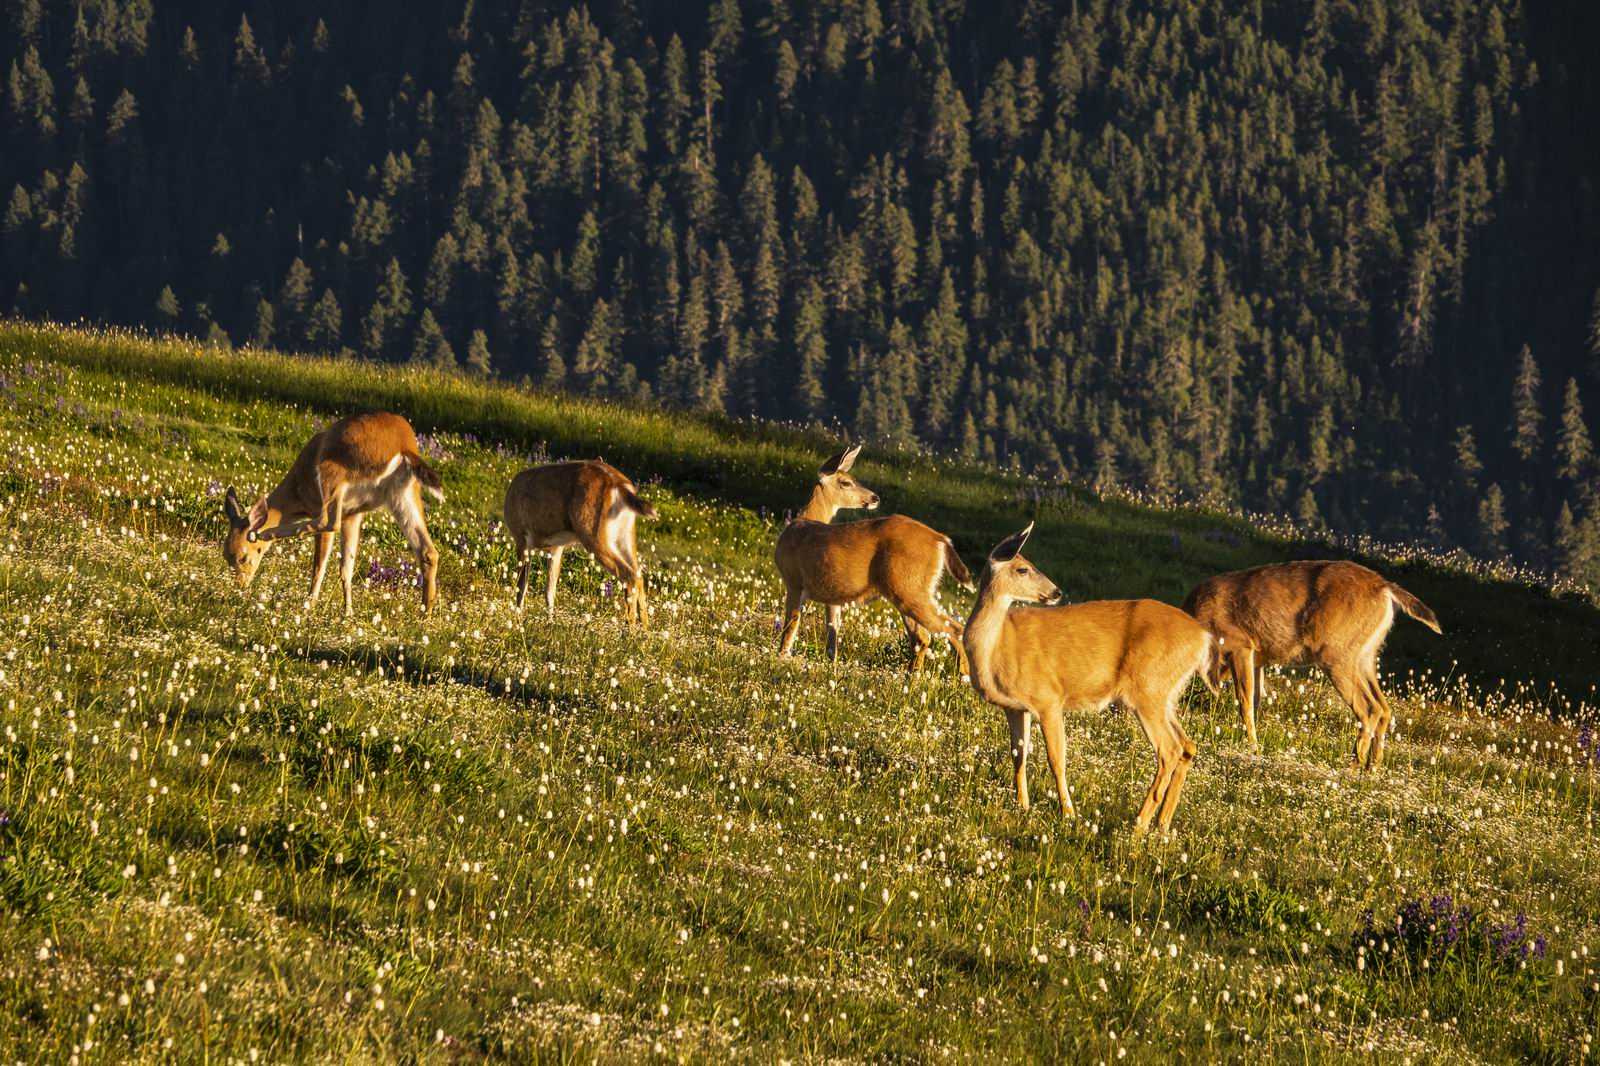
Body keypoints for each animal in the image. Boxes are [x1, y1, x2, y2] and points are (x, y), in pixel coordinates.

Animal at [220, 412, 444, 614]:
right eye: (226, 558)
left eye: (242, 557)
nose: (240, 586)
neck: (297, 491)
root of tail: (404, 445)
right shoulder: (353, 515)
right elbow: (346, 567)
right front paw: (348, 613)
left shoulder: (322, 507)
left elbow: (320, 564)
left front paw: (311, 604)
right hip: (403, 493)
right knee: (428, 551)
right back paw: (425, 615)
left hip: (332, 471)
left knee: (327, 521)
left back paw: (268, 534)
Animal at [496, 457, 652, 624]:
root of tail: (620, 485)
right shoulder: (556, 547)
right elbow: (549, 589)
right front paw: (550, 622)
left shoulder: (521, 538)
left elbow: (521, 587)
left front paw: (517, 619)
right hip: (625, 537)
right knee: (638, 575)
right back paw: (645, 629)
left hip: (592, 533)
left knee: (629, 576)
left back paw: (629, 628)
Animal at [774, 444, 972, 675]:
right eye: (846, 482)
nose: (875, 498)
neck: (803, 522)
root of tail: (940, 538)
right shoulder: (832, 596)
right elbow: (832, 634)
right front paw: (831, 664)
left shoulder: (793, 580)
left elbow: (790, 626)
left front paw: (781, 657)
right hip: (913, 589)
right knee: (923, 637)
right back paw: (912, 675)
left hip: (908, 587)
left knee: (952, 630)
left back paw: (962, 676)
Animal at [960, 521, 1209, 832]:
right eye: (1023, 569)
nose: (1056, 592)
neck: (997, 647)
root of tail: (1203, 637)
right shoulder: (1015, 708)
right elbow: (1018, 755)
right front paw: (1022, 806)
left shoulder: (1049, 698)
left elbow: (1057, 759)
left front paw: (1068, 814)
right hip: (1166, 694)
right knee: (1187, 744)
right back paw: (1162, 824)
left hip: (1148, 689)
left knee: (1169, 749)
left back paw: (1139, 824)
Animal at [1184, 557, 1446, 765]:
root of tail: (1385, 588)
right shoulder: (1257, 658)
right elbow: (1255, 701)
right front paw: (1253, 746)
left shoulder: (1241, 645)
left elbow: (1244, 703)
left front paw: (1252, 747)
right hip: (1366, 655)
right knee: (1384, 707)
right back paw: (1372, 766)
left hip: (1337, 653)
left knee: (1369, 708)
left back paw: (1353, 765)